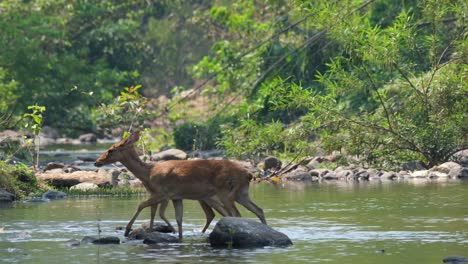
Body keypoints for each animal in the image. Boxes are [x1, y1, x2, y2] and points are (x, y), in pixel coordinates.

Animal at [94, 131, 266, 240]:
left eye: (111, 150)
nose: (97, 162)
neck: (148, 173)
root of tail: (248, 174)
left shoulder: (161, 193)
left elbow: (142, 206)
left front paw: (127, 230)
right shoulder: (175, 197)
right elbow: (177, 218)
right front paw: (177, 235)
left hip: (225, 192)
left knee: (235, 214)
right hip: (241, 193)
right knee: (258, 209)